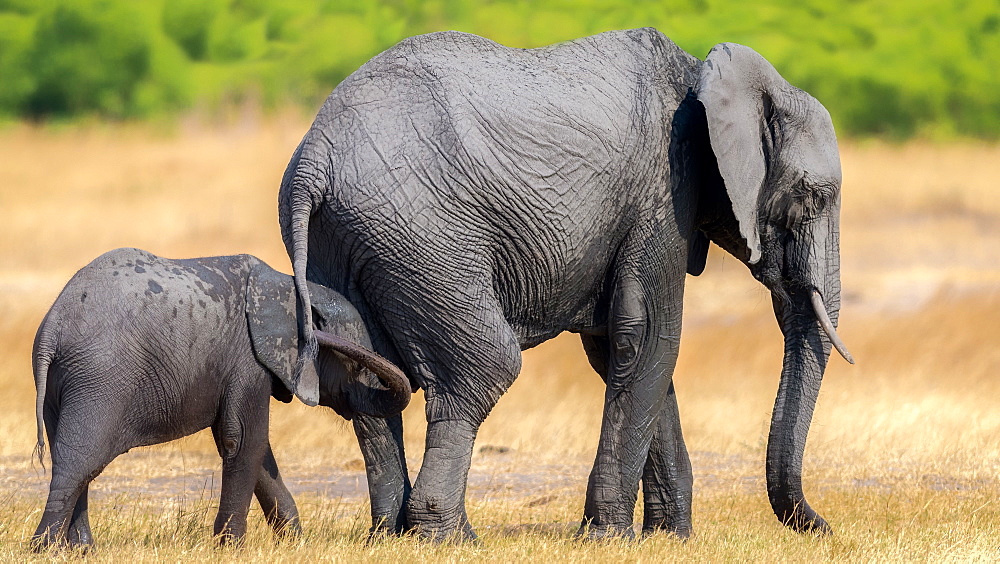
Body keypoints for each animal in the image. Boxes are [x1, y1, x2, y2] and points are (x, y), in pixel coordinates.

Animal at [32, 249, 410, 548]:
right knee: (79, 461)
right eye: (355, 364)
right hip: (99, 380)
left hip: (62, 386)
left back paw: (81, 551)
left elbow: (252, 447)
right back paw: (45, 549)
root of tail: (52, 328)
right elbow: (244, 439)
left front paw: (294, 543)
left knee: (75, 461)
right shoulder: (247, 358)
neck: (289, 288)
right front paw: (232, 547)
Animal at [280, 28, 852, 540]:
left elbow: (620, 349)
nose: (823, 527)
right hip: (422, 235)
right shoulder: (663, 190)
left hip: (346, 240)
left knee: (369, 382)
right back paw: (446, 538)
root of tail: (315, 157)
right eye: (814, 196)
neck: (706, 77)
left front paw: (669, 539)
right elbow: (650, 338)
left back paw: (391, 535)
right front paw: (611, 538)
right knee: (486, 365)